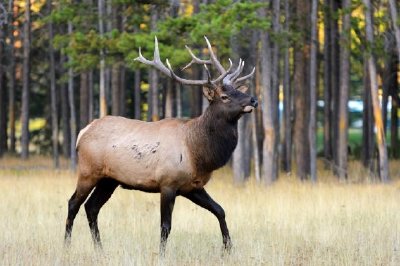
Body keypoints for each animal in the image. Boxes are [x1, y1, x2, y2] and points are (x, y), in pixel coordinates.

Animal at [64, 36, 258, 255]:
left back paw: (100, 250)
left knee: (92, 207)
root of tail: (82, 132)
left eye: (237, 90)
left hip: (109, 179)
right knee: (73, 203)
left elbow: (220, 210)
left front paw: (228, 248)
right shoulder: (167, 183)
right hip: (88, 171)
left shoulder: (192, 186)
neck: (198, 153)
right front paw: (161, 255)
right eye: (224, 97)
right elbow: (166, 226)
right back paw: (67, 246)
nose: (253, 99)